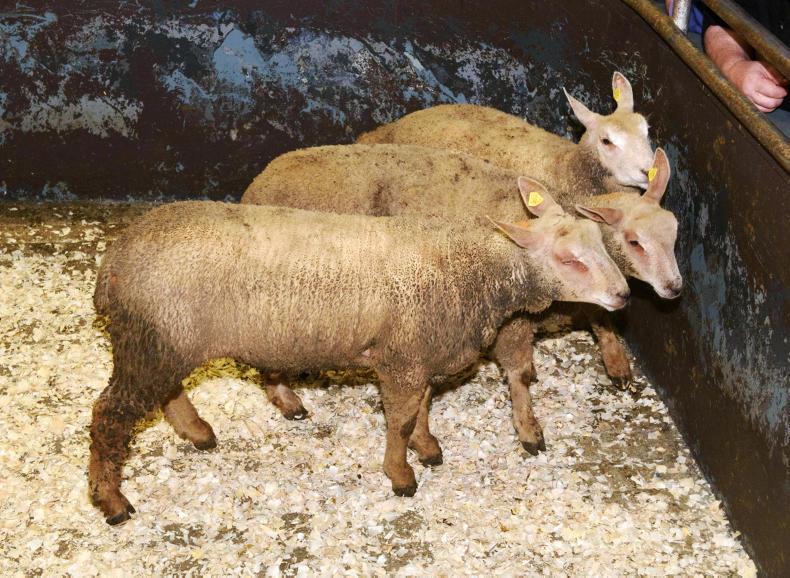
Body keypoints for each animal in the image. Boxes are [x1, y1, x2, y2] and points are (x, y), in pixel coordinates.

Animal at [90, 200, 629, 524]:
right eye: (570, 260)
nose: (624, 295)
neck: (472, 268)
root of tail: (113, 262)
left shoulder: (417, 351)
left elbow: (423, 407)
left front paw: (427, 448)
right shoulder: (402, 359)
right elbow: (400, 419)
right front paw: (401, 475)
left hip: (164, 343)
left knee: (164, 393)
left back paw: (198, 432)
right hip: (152, 340)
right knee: (109, 416)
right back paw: (112, 501)